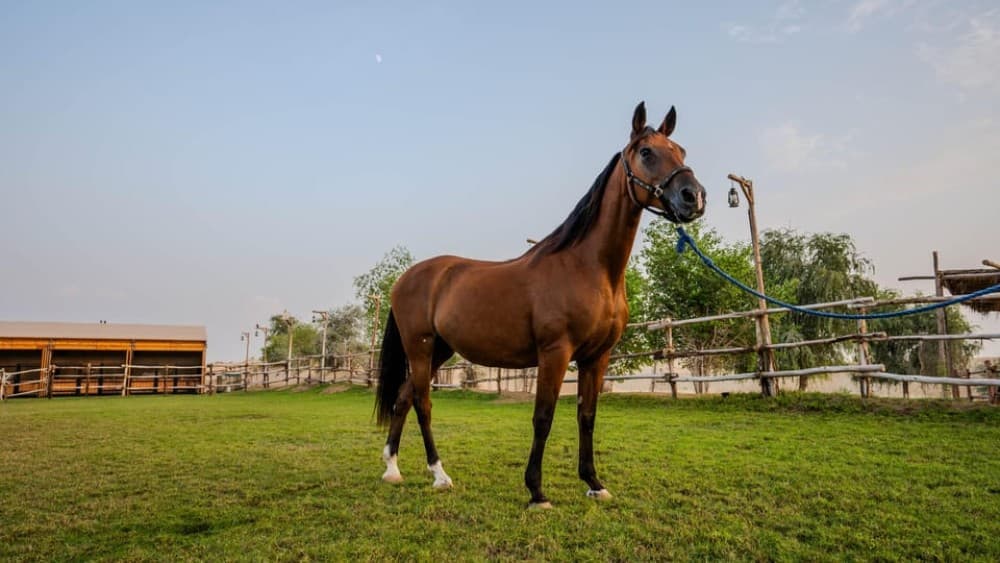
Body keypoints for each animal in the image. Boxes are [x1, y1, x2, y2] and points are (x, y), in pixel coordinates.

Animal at [375, 101, 706, 508]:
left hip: (440, 349)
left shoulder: (597, 357)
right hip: (420, 348)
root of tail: (405, 278)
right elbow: (543, 417)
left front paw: (594, 482)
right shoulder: (555, 353)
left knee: (403, 397)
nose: (694, 197)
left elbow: (587, 416)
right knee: (422, 402)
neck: (588, 267)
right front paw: (536, 491)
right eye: (646, 152)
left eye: (682, 152)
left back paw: (392, 469)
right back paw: (439, 475)